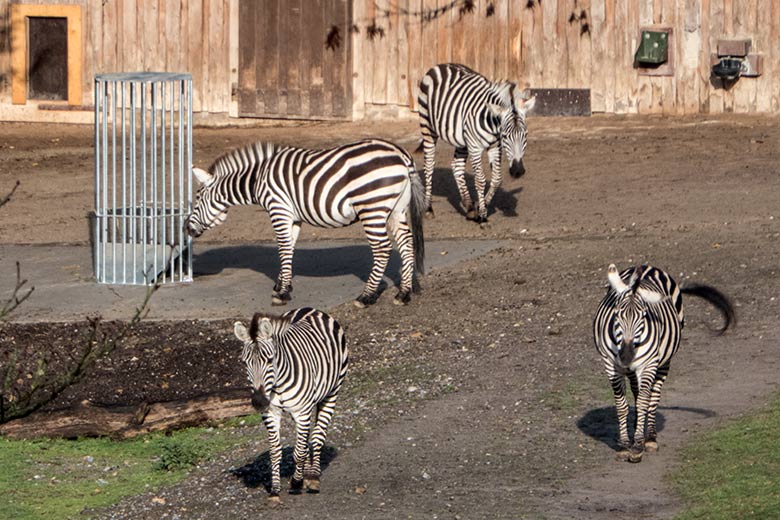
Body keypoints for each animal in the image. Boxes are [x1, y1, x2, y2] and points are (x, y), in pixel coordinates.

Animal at [184, 139, 426, 308]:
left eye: (197, 198)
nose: (187, 227)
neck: (257, 179)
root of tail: (401, 154)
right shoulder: (293, 217)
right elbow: (289, 248)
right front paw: (283, 284)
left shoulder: (278, 209)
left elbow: (282, 248)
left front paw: (282, 293)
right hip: (396, 209)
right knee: (406, 243)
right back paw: (403, 293)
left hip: (371, 207)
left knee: (382, 249)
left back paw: (366, 296)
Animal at [232, 306, 348, 502]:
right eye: (244, 362)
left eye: (269, 360)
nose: (259, 402)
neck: (277, 385)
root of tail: (311, 309)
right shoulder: (271, 413)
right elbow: (275, 452)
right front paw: (275, 490)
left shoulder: (302, 411)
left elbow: (299, 451)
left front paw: (296, 482)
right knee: (307, 439)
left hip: (332, 392)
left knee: (318, 436)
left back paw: (313, 477)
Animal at [414, 62, 536, 222]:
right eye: (505, 136)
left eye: (525, 135)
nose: (517, 171)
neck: (492, 123)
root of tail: (440, 65)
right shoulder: (475, 147)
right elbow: (480, 180)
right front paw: (483, 216)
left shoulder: (495, 147)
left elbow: (497, 178)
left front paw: (480, 206)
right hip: (428, 128)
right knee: (429, 166)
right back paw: (428, 208)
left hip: (461, 140)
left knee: (457, 166)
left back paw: (469, 207)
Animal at [596, 264, 736, 464]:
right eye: (617, 314)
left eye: (644, 316)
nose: (627, 355)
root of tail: (647, 266)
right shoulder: (611, 365)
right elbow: (621, 405)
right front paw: (623, 446)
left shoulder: (648, 364)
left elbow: (644, 402)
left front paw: (637, 446)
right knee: (638, 392)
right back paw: (638, 425)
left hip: (663, 362)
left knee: (653, 395)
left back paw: (649, 437)